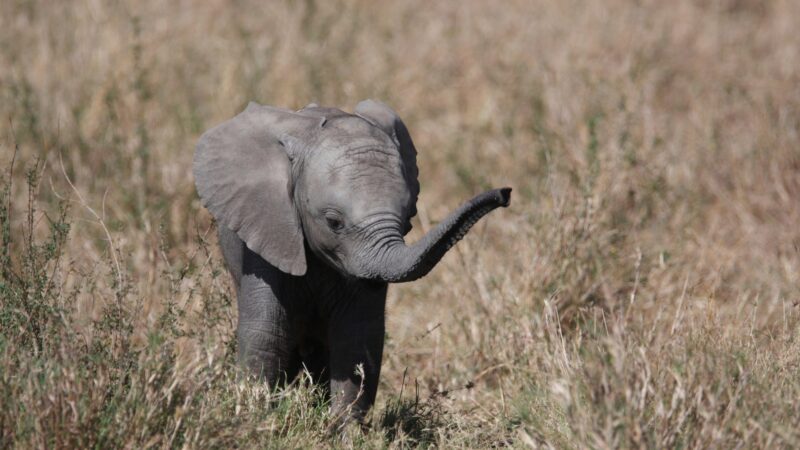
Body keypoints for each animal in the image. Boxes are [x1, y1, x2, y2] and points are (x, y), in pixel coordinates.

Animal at [192, 99, 512, 426]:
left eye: (408, 219)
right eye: (334, 222)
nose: (505, 193)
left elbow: (357, 338)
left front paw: (343, 431)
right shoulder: (269, 229)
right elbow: (267, 333)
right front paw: (257, 421)